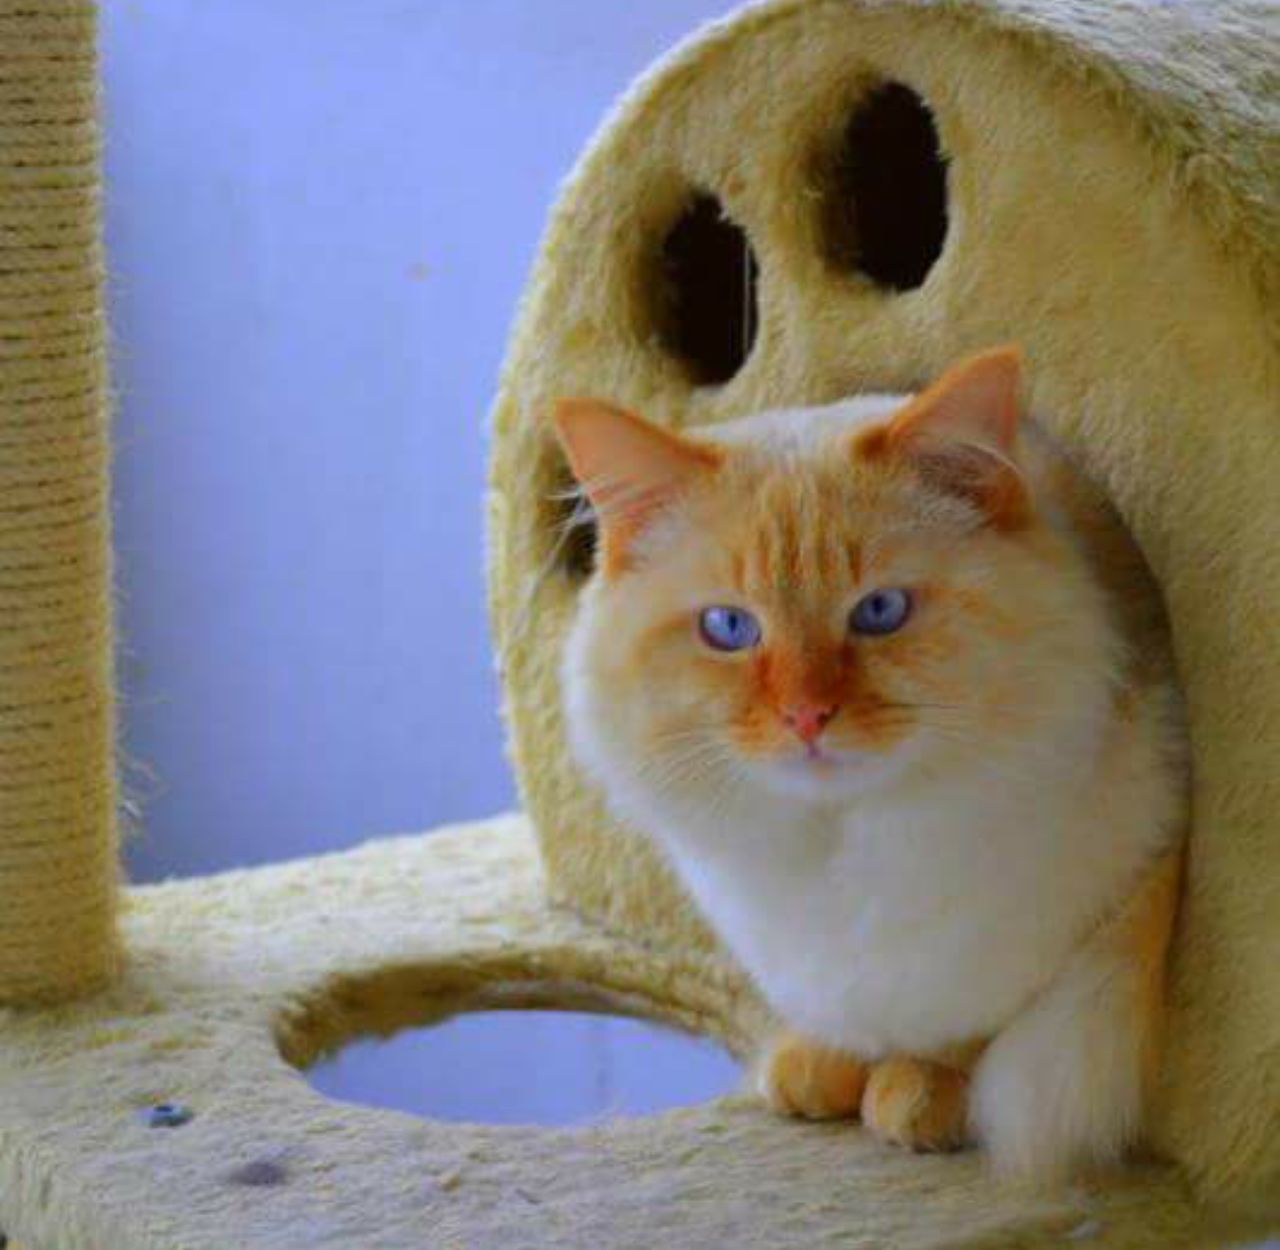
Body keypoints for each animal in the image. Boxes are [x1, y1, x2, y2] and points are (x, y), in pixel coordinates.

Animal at [555, 348, 1182, 1182]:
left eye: (879, 612)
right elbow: (842, 1018)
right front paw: (822, 1065)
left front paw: (919, 1092)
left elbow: (967, 1030)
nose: (807, 717)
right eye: (729, 628)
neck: (839, 847)